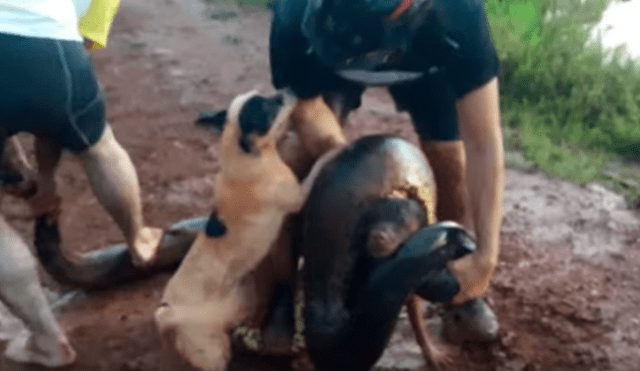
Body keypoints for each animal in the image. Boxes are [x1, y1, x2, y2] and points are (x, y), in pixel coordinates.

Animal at [155, 90, 304, 371]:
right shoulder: (296, 196)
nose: (289, 90)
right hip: (213, 353)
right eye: (269, 108)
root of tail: (167, 313)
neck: (248, 156)